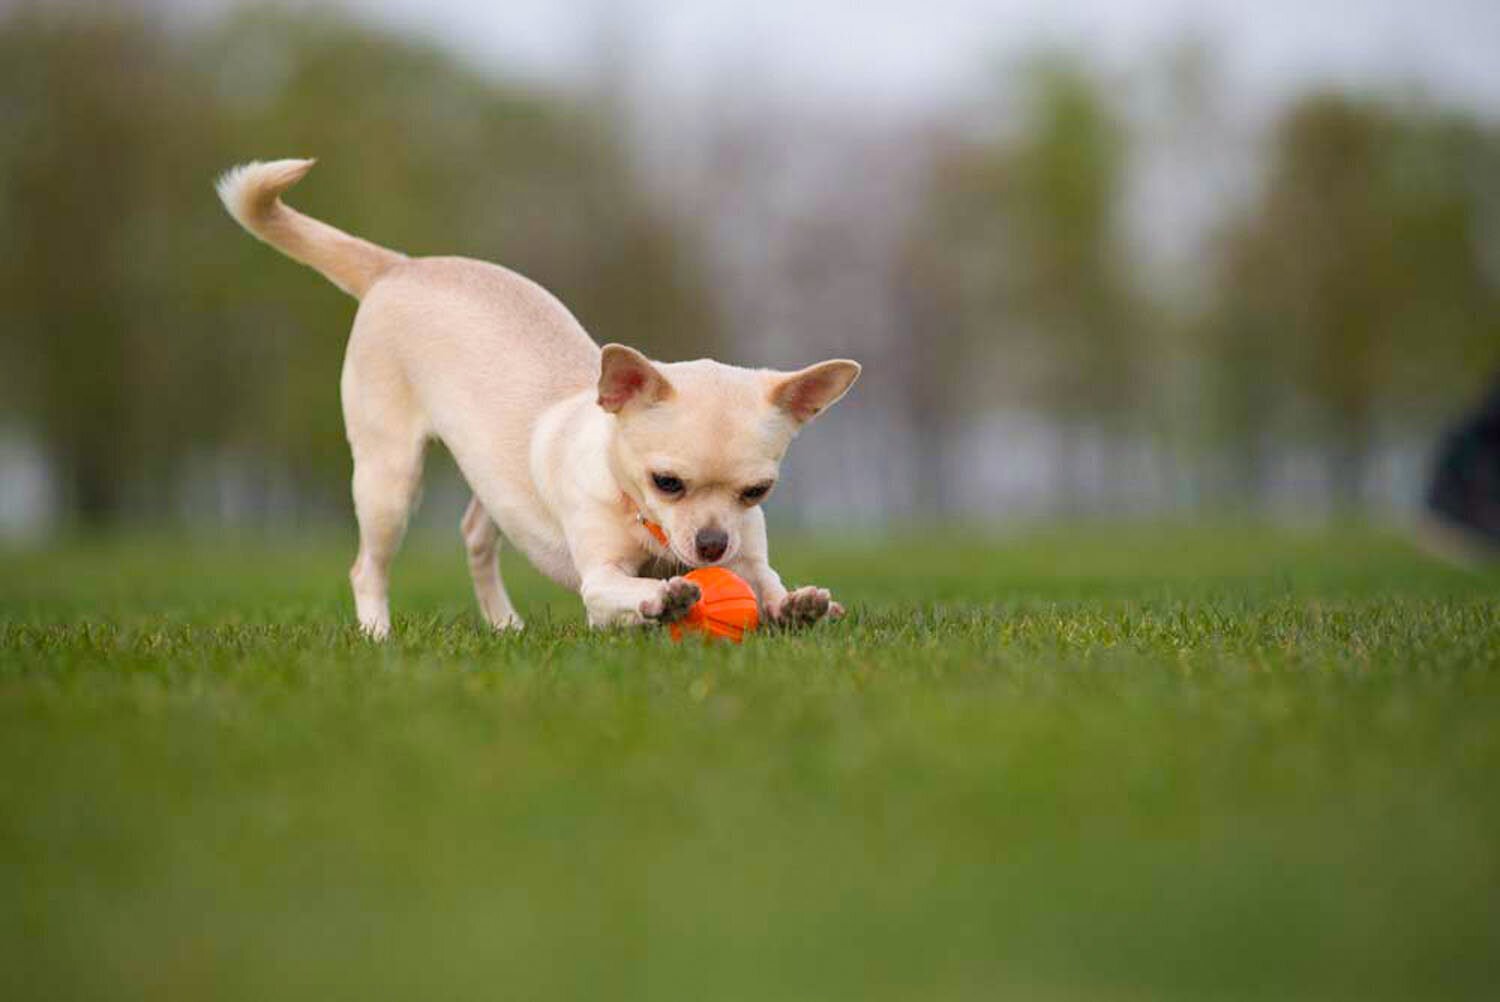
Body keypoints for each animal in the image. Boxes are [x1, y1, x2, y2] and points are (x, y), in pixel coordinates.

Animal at [217, 160, 864, 639]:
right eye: (667, 483)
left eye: (757, 492)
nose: (711, 544)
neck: (647, 527)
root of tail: (399, 267)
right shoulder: (599, 581)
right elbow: (629, 590)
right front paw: (664, 598)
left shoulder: (750, 561)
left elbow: (768, 584)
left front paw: (798, 605)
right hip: (388, 477)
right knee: (366, 566)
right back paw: (378, 635)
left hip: (490, 484)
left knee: (476, 535)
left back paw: (506, 625)